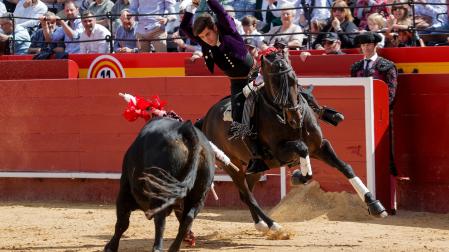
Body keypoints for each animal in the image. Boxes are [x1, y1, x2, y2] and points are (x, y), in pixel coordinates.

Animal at [106, 118, 216, 252]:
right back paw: (173, 248)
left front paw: (110, 247)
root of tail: (185, 129)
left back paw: (157, 248)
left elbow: (122, 222)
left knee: (160, 220)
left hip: (160, 192)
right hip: (200, 195)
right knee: (187, 219)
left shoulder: (124, 190)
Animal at [196, 50, 384, 232]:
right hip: (230, 164)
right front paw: (297, 176)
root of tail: (206, 118)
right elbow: (302, 151)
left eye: (294, 80)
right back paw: (273, 225)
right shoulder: (279, 153)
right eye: (275, 84)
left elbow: (345, 167)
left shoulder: (319, 146)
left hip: (256, 168)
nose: (295, 117)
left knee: (246, 192)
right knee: (246, 194)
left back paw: (260, 224)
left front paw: (374, 204)